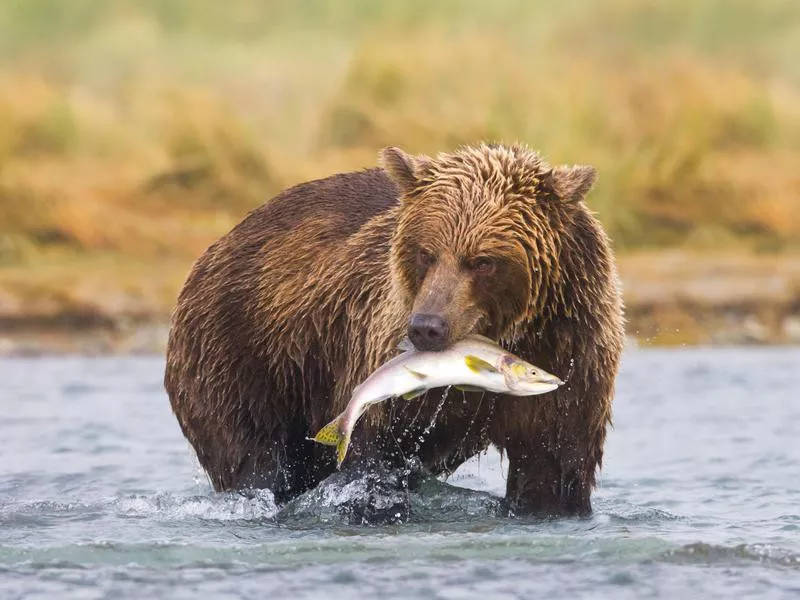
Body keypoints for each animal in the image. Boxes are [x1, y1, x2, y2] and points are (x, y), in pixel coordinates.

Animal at [164, 143, 624, 516]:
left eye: (483, 261)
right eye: (426, 252)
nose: (426, 327)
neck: (510, 332)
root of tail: (218, 245)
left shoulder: (573, 351)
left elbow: (554, 466)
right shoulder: (376, 347)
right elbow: (372, 454)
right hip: (244, 355)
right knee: (255, 458)